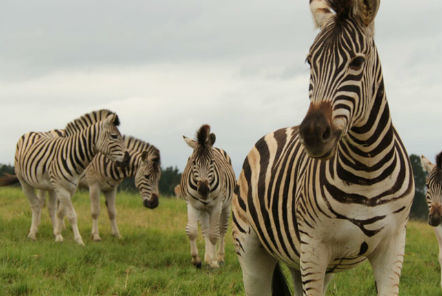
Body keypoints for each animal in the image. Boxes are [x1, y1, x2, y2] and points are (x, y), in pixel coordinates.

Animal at [0, 110, 128, 244]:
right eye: (114, 136)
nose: (127, 159)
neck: (72, 155)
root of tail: (30, 132)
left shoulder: (70, 189)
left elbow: (61, 212)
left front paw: (58, 234)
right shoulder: (66, 187)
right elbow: (72, 215)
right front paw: (79, 240)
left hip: (48, 186)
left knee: (49, 207)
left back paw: (50, 231)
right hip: (24, 182)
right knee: (35, 205)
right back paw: (32, 234)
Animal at [179, 124, 237, 268]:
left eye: (212, 162)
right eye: (193, 162)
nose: (204, 190)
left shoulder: (217, 206)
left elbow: (214, 234)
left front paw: (215, 262)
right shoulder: (192, 204)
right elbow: (192, 231)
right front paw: (196, 260)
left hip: (226, 206)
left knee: (221, 230)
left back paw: (219, 257)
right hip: (204, 209)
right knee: (205, 230)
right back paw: (208, 258)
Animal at [231, 1, 414, 294]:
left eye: (357, 62)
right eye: (310, 61)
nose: (312, 134)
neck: (367, 170)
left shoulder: (393, 245)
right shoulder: (314, 248)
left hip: (301, 260)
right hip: (251, 248)